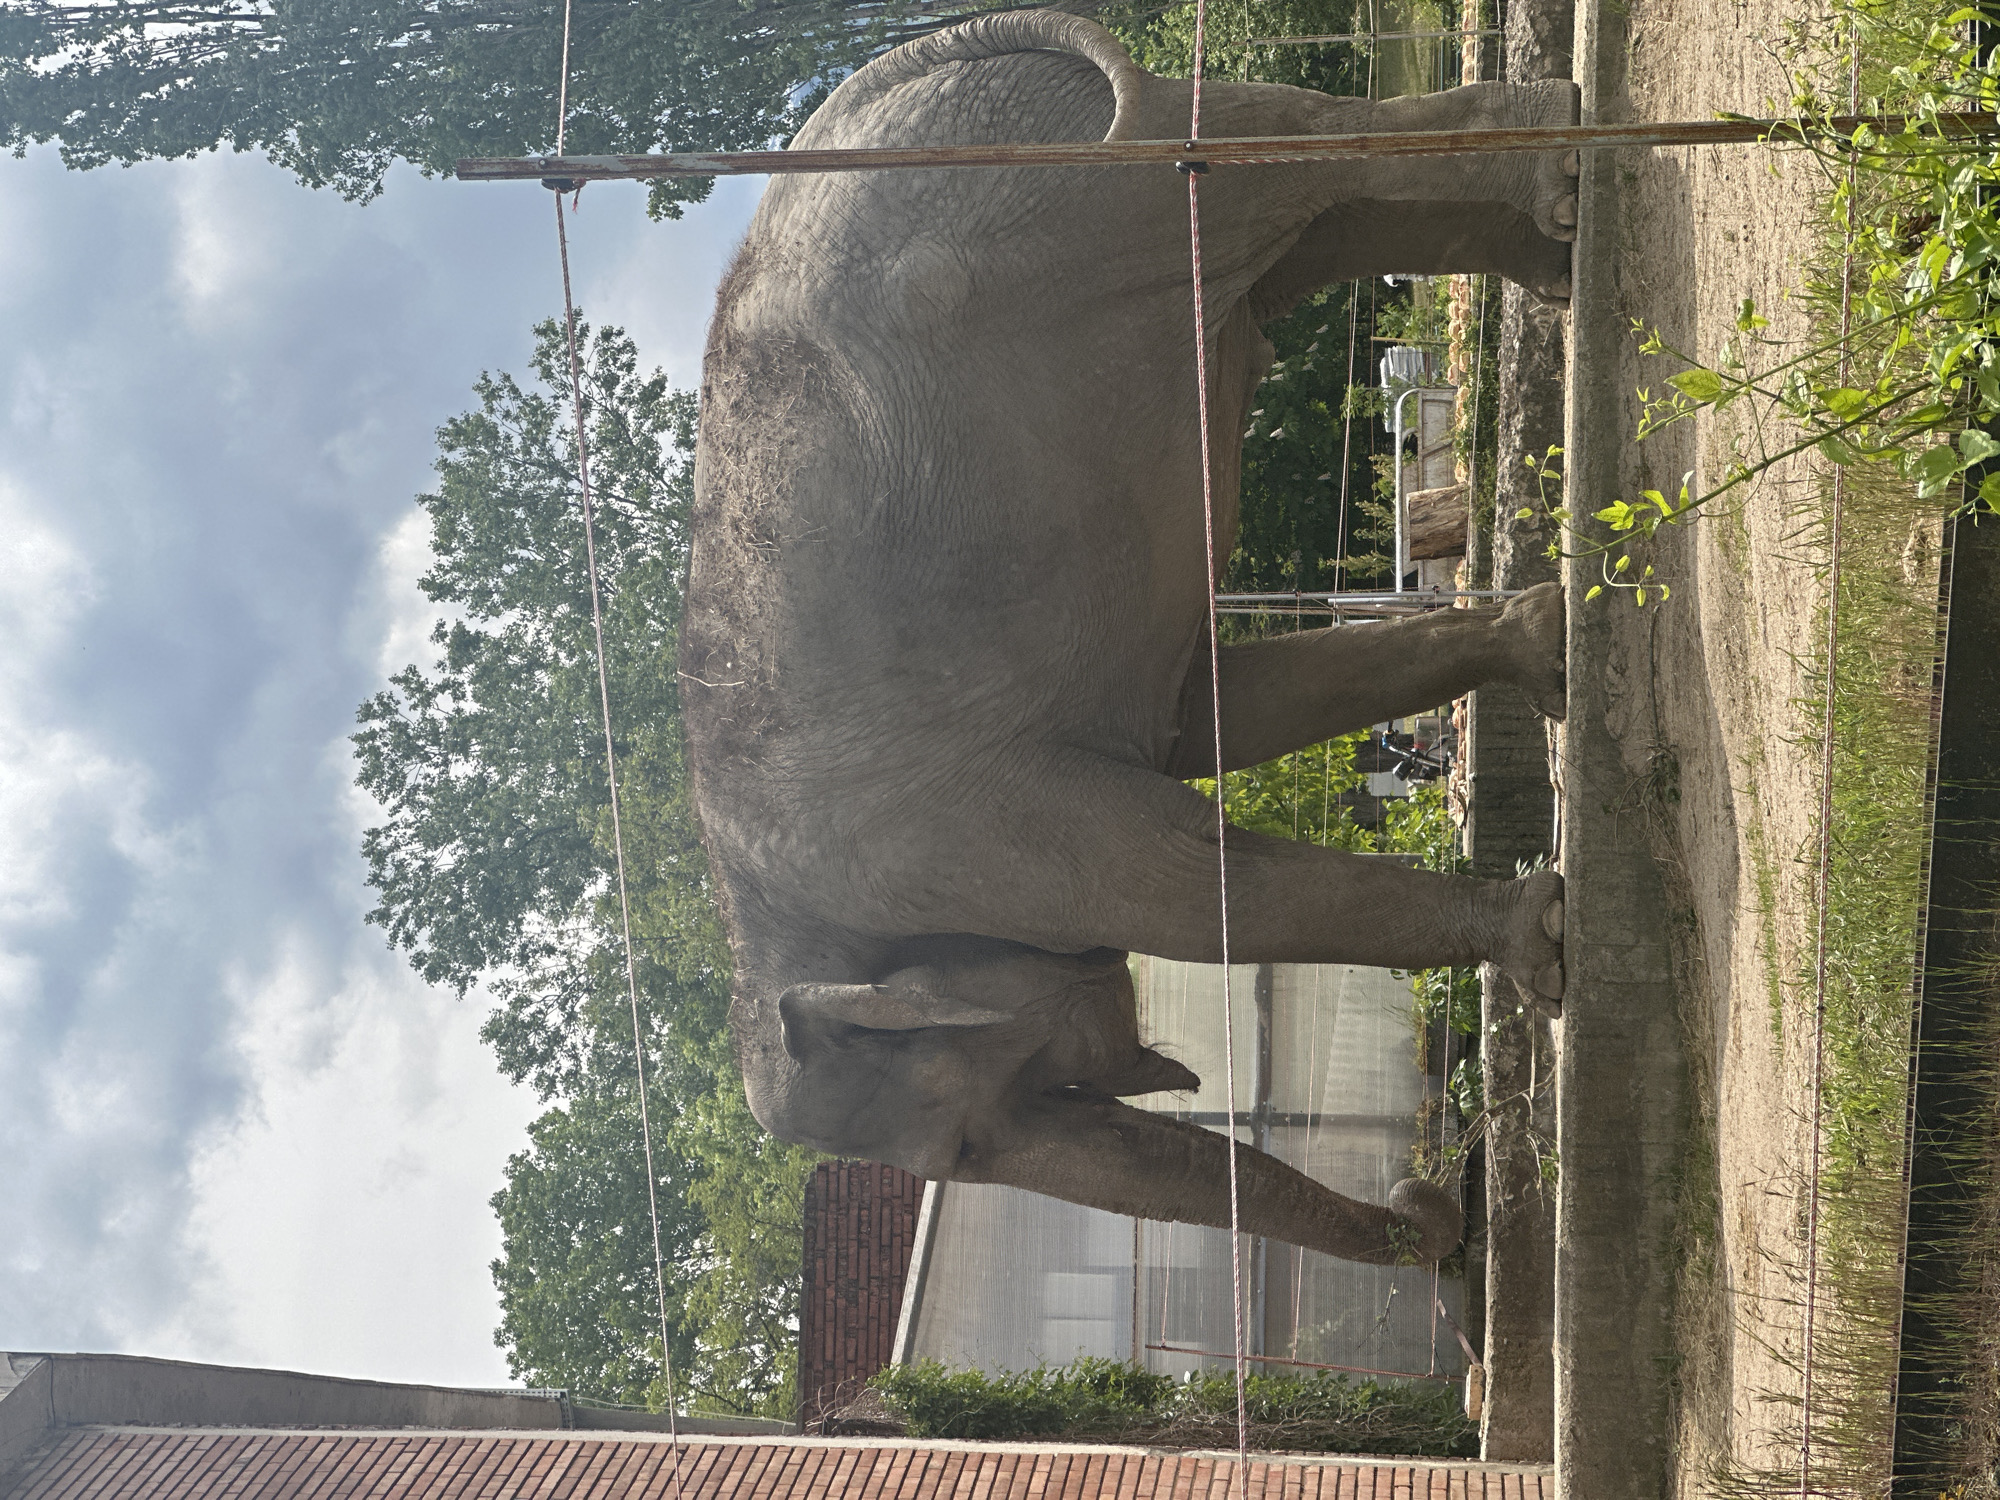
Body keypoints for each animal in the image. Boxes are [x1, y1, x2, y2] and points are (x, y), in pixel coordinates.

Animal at [679, 9, 1574, 1267]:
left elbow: (1184, 883)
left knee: (1290, 166)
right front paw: (1549, 648)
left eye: (960, 1146)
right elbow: (1220, 711)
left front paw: (1542, 945)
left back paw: (1558, 184)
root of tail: (910, 62)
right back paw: (1555, 248)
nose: (1441, 1205)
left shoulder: (957, 836)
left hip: (1085, 191)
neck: (757, 949)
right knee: (1311, 220)